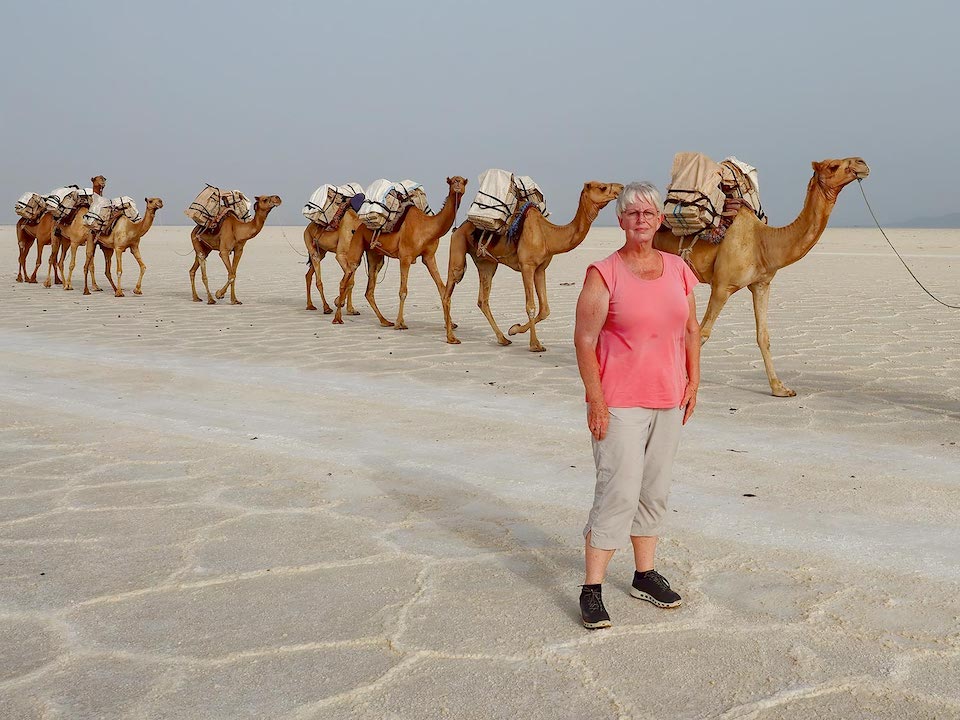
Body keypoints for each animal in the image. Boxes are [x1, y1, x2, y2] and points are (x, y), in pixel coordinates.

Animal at [334, 176, 468, 328]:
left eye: (463, 181)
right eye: (452, 181)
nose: (457, 186)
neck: (427, 227)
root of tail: (360, 224)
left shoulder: (429, 257)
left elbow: (442, 288)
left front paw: (451, 324)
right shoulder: (405, 257)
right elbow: (403, 291)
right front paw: (400, 323)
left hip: (375, 254)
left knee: (369, 290)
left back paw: (385, 321)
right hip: (357, 242)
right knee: (346, 278)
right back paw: (337, 318)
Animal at [442, 179, 624, 350]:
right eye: (602, 187)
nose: (621, 188)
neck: (548, 235)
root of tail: (459, 227)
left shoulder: (540, 269)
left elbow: (545, 309)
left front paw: (513, 329)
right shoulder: (527, 266)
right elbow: (531, 306)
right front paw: (535, 344)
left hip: (486, 263)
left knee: (483, 300)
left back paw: (503, 338)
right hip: (458, 247)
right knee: (448, 292)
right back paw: (451, 338)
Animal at [652, 155, 872, 400]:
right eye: (833, 166)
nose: (862, 163)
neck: (762, 242)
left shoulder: (762, 284)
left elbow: (763, 336)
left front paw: (780, 388)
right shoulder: (721, 286)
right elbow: (702, 332)